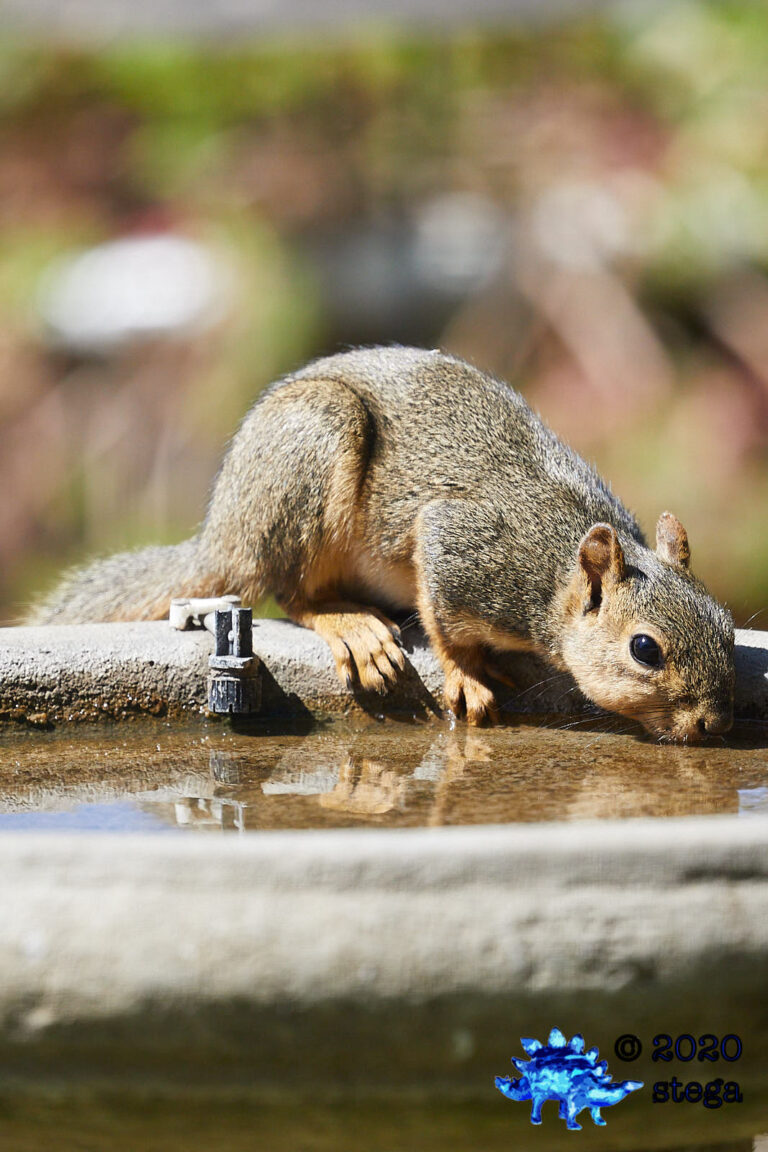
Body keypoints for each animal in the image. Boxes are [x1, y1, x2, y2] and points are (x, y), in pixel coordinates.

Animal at [28, 346, 735, 742]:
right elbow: (444, 620)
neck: (553, 569)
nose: (715, 724)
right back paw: (353, 627)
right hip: (310, 451)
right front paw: (466, 673)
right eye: (644, 649)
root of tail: (222, 533)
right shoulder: (461, 546)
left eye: (727, 626)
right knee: (292, 592)